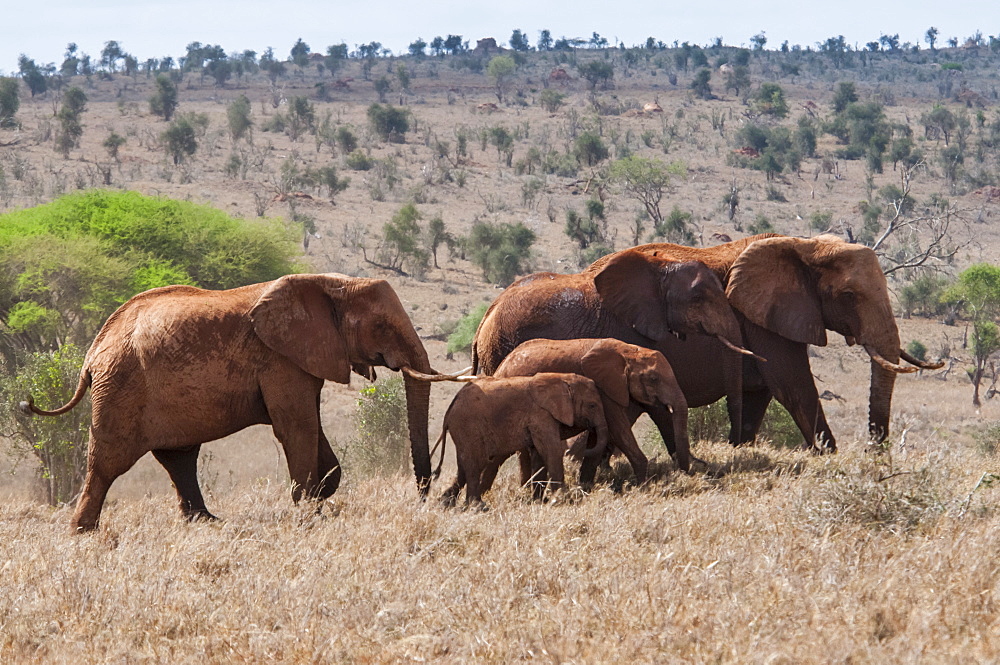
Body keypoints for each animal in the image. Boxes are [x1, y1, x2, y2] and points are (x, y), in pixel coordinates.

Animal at [19, 272, 440, 532]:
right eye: (381, 326)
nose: (424, 494)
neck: (331, 283)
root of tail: (91, 354)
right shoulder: (279, 359)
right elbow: (296, 425)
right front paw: (309, 512)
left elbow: (308, 423)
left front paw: (321, 496)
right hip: (120, 388)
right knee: (108, 463)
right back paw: (83, 533)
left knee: (179, 458)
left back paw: (206, 522)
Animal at [436, 368, 608, 508]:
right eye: (592, 405)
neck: (562, 378)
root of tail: (450, 408)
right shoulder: (541, 415)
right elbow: (551, 450)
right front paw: (561, 500)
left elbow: (539, 454)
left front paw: (539, 501)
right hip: (468, 426)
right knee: (476, 463)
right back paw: (478, 507)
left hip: (462, 430)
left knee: (463, 466)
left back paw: (445, 503)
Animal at [472, 246, 752, 460]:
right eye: (697, 298)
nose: (735, 445)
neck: (659, 268)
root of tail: (485, 318)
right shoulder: (625, 329)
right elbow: (641, 404)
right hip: (501, 345)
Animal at [492, 340, 688, 490]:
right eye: (654, 379)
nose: (686, 474)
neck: (627, 351)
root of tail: (499, 368)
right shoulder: (602, 387)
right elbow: (617, 429)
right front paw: (643, 486)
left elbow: (598, 433)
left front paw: (585, 486)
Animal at [584, 235, 940, 452]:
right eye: (849, 296)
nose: (872, 451)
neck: (806, 246)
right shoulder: (763, 321)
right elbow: (794, 388)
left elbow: (760, 396)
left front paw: (739, 449)